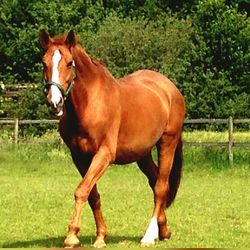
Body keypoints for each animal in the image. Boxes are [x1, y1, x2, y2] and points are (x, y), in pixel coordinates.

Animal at [39, 29, 186, 248]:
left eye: (69, 63)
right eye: (44, 62)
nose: (54, 103)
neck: (90, 103)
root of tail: (170, 88)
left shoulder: (104, 154)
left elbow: (81, 191)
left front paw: (71, 236)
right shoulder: (79, 157)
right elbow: (92, 194)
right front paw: (101, 236)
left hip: (167, 142)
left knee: (161, 187)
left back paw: (149, 236)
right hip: (142, 154)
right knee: (155, 183)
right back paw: (164, 230)